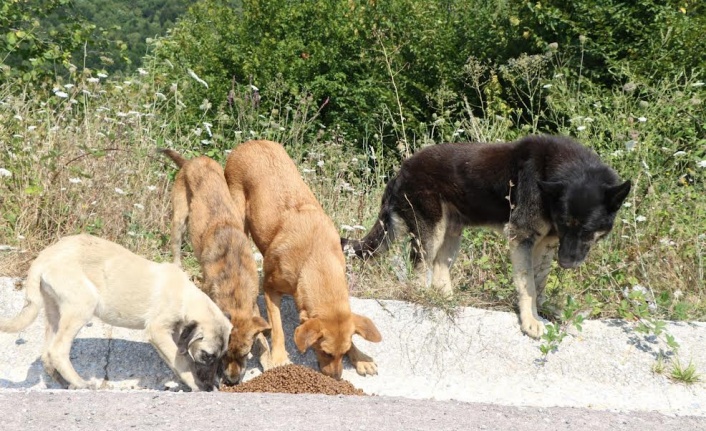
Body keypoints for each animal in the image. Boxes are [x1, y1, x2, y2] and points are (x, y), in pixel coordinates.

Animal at [0, 235, 231, 394]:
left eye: (220, 357)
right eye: (207, 356)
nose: (212, 385)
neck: (185, 296)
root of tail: (44, 256)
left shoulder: (173, 335)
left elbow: (177, 358)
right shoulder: (158, 330)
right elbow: (182, 361)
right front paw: (195, 384)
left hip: (54, 311)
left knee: (47, 352)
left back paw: (65, 383)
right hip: (82, 305)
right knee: (57, 350)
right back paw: (80, 382)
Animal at [160, 149, 270, 384]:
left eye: (246, 353)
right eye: (224, 355)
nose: (231, 381)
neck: (235, 287)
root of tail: (192, 161)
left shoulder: (253, 306)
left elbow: (264, 341)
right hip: (179, 220)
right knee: (176, 251)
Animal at [224, 140, 380, 380]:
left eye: (343, 352)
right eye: (325, 352)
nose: (336, 378)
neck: (315, 259)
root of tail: (251, 142)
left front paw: (361, 357)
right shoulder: (269, 288)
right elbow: (278, 328)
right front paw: (279, 358)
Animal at [340, 137, 628, 340]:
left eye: (587, 231)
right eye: (566, 224)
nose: (567, 263)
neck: (556, 172)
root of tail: (402, 170)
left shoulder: (544, 244)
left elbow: (538, 283)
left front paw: (541, 311)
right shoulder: (521, 238)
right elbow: (528, 286)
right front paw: (530, 321)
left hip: (452, 233)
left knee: (439, 267)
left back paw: (447, 300)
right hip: (431, 232)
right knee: (421, 269)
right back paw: (422, 298)